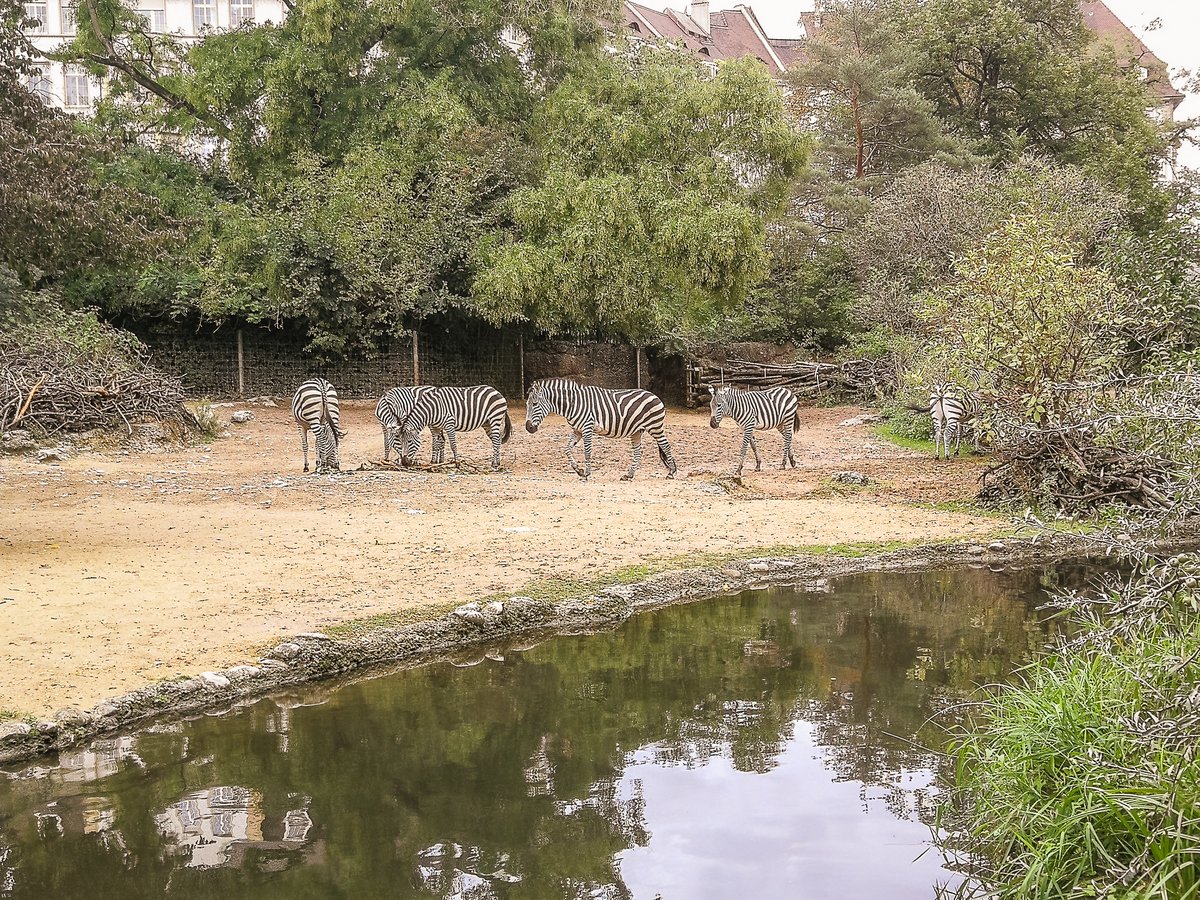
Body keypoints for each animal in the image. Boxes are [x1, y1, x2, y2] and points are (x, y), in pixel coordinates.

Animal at [523, 376, 676, 482]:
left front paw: (586, 474)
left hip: (655, 426)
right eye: (527, 404)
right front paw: (578, 470)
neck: (573, 404)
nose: (528, 428)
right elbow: (567, 449)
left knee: (666, 446)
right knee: (638, 451)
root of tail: (654, 395)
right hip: (636, 431)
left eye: (535, 404)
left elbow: (587, 452)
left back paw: (671, 473)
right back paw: (629, 475)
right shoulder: (577, 430)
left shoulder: (587, 428)